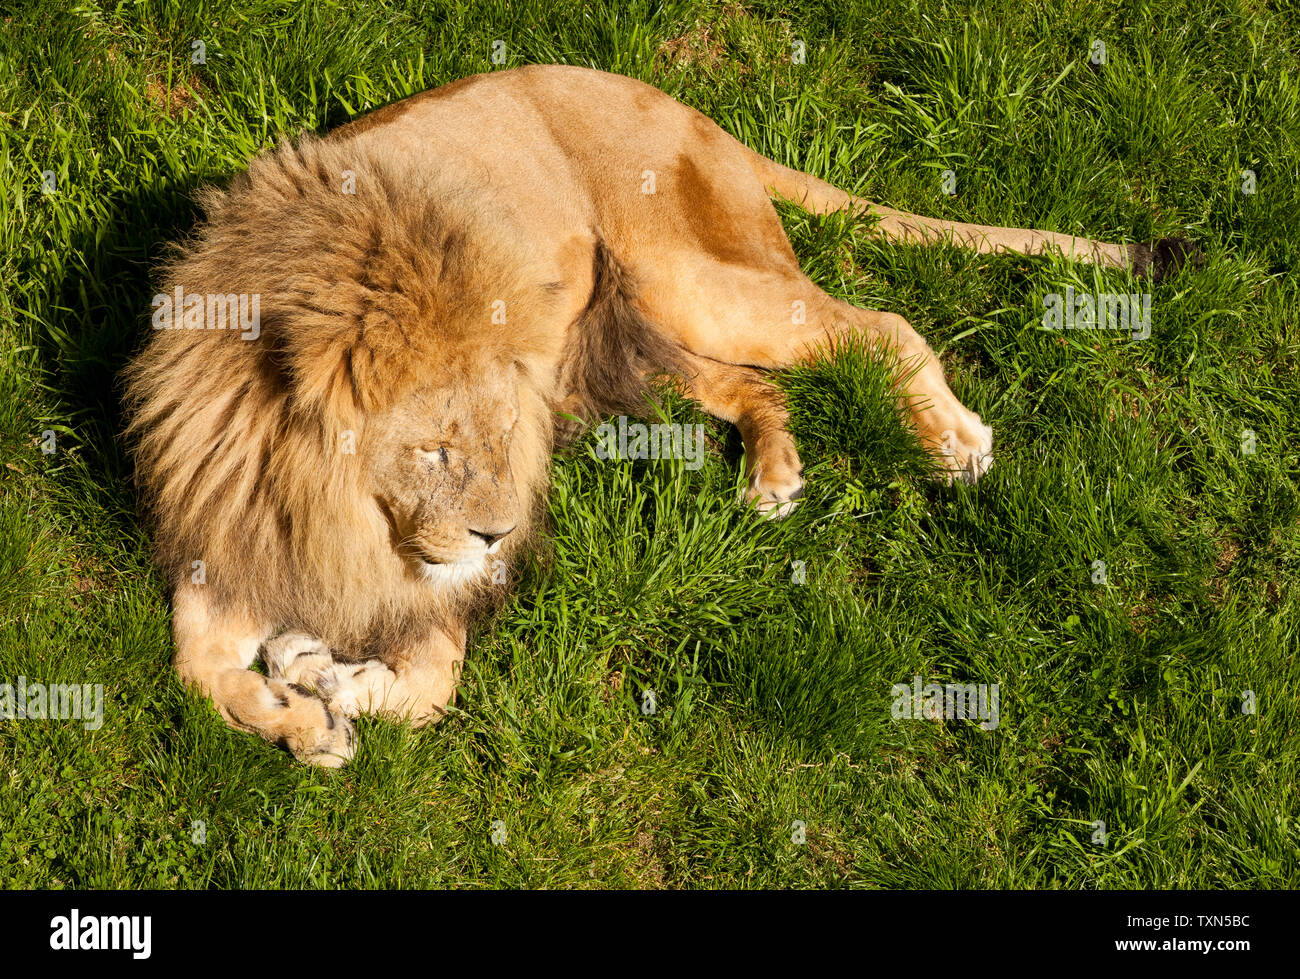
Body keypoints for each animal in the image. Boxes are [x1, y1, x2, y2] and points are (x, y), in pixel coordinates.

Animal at [123, 64, 1195, 765]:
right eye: (434, 449)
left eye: (495, 439)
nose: (499, 535)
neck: (322, 501)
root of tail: (680, 105)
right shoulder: (228, 536)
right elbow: (194, 670)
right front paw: (299, 712)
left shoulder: (439, 584)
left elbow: (428, 690)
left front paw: (329, 683)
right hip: (618, 339)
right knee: (758, 384)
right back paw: (774, 475)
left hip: (688, 279)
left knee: (880, 326)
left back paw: (954, 440)